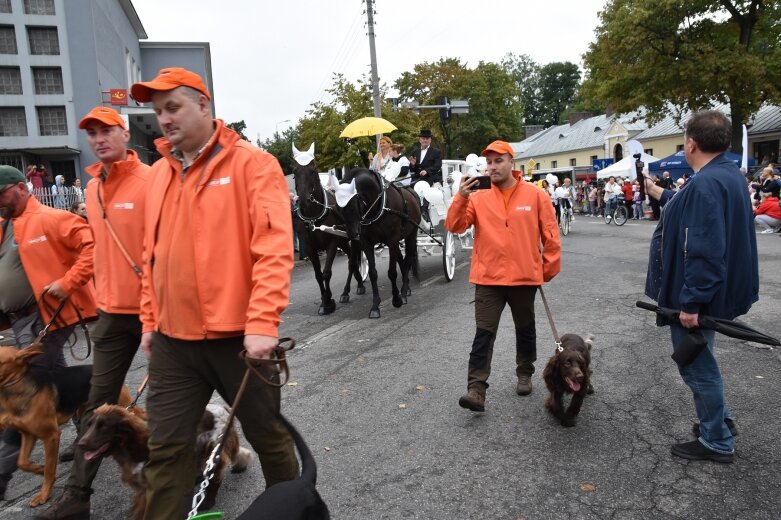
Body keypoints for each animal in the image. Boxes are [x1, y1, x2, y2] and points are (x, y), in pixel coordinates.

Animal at [79, 402, 250, 516]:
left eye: (104, 426)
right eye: (89, 424)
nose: (80, 444)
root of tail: (223, 408)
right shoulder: (142, 488)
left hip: (212, 451)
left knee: (216, 478)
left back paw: (208, 501)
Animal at [292, 159, 366, 312]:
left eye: (312, 172)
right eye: (295, 173)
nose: (303, 201)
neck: (313, 218)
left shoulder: (331, 243)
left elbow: (326, 272)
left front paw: (327, 301)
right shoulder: (309, 247)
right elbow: (318, 275)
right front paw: (325, 298)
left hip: (354, 236)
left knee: (352, 262)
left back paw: (352, 288)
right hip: (343, 241)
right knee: (352, 260)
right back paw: (355, 283)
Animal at [336, 169, 420, 318]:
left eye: (352, 206)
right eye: (338, 209)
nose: (352, 235)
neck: (378, 206)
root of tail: (411, 191)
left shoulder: (392, 240)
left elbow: (392, 272)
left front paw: (396, 299)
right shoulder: (366, 243)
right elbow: (373, 273)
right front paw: (375, 306)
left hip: (411, 234)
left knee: (408, 259)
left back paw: (404, 292)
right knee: (402, 260)